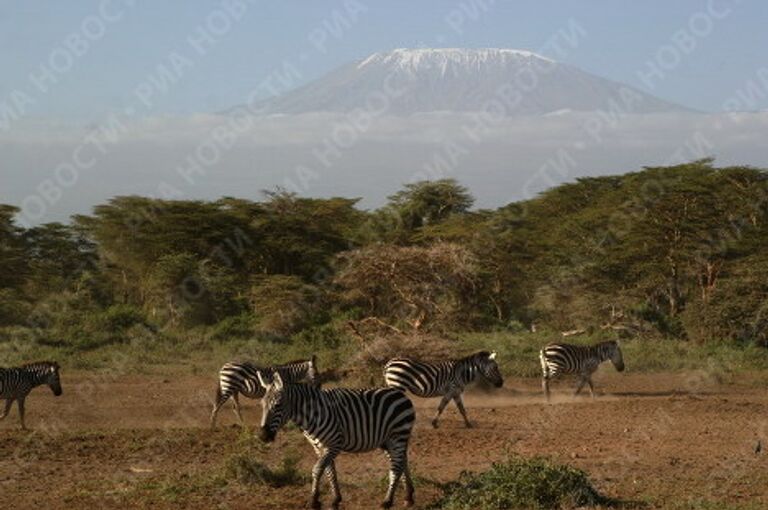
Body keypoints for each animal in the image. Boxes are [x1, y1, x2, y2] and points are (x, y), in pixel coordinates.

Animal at [258, 370, 416, 510]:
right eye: (262, 405)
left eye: (277, 405)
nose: (262, 436)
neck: (311, 414)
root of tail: (400, 394)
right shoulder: (319, 447)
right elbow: (330, 472)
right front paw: (335, 500)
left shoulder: (334, 444)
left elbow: (317, 469)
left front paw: (314, 501)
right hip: (386, 441)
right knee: (402, 461)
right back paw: (408, 497)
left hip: (398, 435)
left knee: (396, 467)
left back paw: (387, 501)